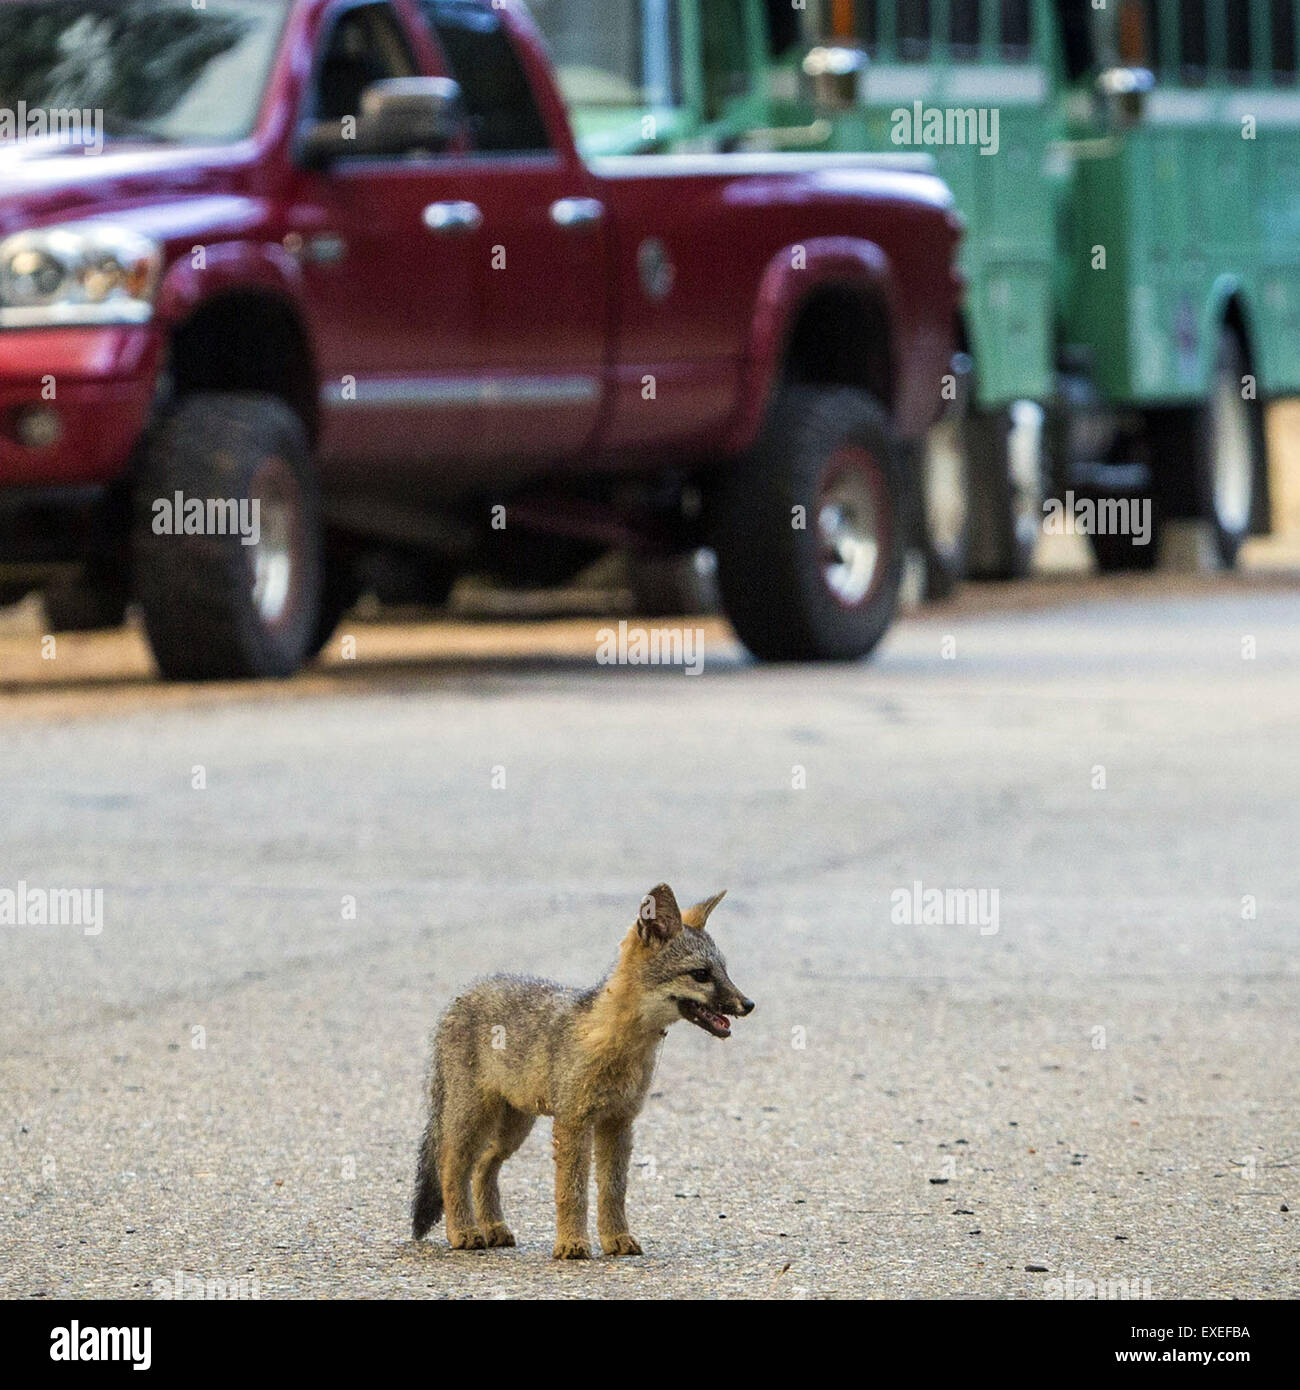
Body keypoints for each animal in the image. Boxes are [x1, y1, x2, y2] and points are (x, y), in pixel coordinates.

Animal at [405, 889, 750, 1262]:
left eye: (725, 971)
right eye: (701, 974)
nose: (749, 1004)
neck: (616, 1042)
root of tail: (462, 995)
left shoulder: (619, 1122)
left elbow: (613, 1189)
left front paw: (617, 1239)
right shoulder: (573, 1121)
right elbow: (572, 1190)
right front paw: (572, 1244)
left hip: (514, 1127)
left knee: (484, 1167)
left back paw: (494, 1229)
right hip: (472, 1117)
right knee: (451, 1167)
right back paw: (464, 1233)